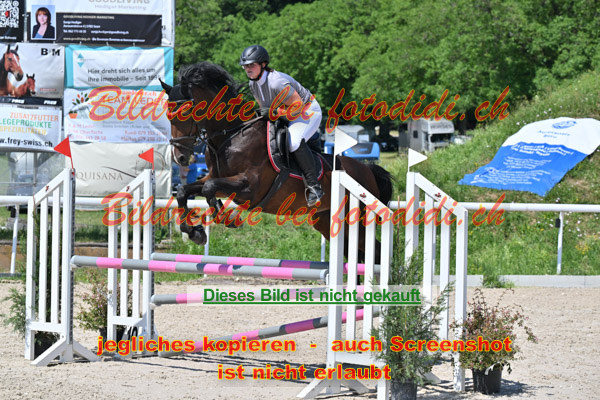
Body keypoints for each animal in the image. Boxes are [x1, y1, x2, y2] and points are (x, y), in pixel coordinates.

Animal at [160, 62, 393, 262]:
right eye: (167, 114)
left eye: (185, 112)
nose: (179, 157)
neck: (231, 136)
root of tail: (367, 170)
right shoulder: (215, 177)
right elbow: (184, 191)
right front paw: (195, 232)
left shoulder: (249, 187)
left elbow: (209, 187)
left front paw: (226, 218)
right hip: (326, 221)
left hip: (358, 221)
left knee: (376, 252)